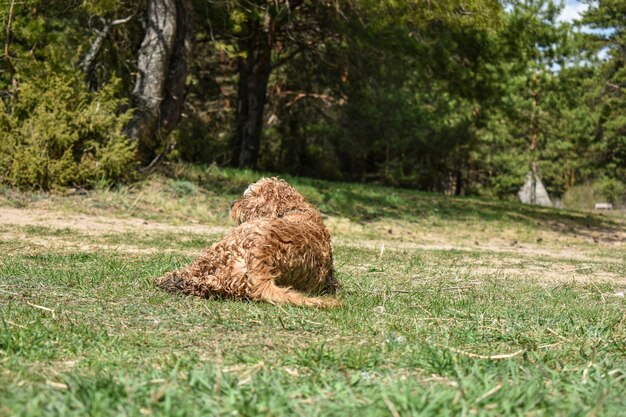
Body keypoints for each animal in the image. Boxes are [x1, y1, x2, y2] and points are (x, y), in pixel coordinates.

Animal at [156, 177, 342, 308]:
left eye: (250, 196)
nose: (231, 203)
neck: (294, 209)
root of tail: (262, 260)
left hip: (220, 249)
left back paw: (174, 280)